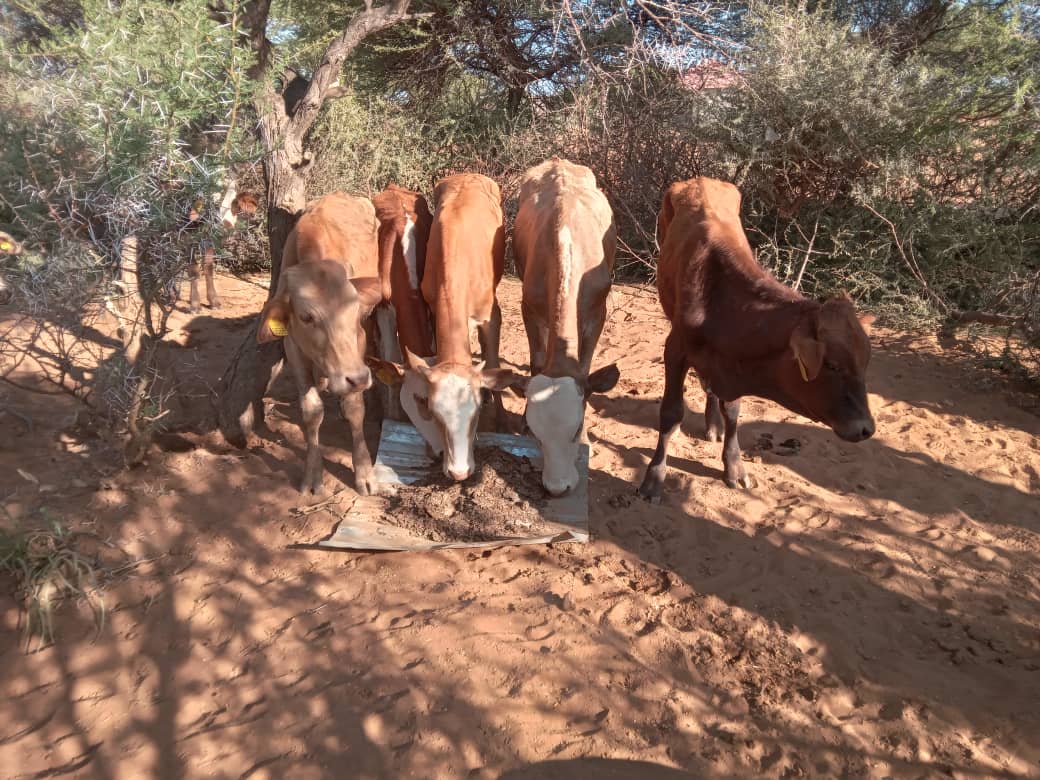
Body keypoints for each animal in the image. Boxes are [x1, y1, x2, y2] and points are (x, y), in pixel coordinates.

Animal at [255, 192, 382, 495]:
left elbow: (355, 408)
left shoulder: (358, 342)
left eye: (354, 308)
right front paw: (313, 475)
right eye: (307, 317)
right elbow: (311, 411)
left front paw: (364, 473)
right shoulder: (293, 346)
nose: (359, 378)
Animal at [372, 175, 520, 482]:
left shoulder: (491, 315)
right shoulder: (393, 307)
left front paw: (501, 422)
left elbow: (493, 361)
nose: (459, 472)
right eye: (427, 405)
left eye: (477, 409)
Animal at [511, 158, 615, 497]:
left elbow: (586, 364)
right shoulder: (529, 308)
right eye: (537, 434)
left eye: (577, 428)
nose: (558, 488)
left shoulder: (598, 311)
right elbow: (535, 360)